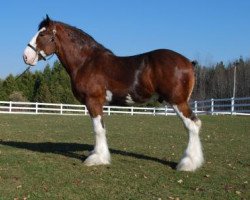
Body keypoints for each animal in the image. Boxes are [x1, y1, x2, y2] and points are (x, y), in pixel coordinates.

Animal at [23, 16, 203, 172]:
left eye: (42, 34)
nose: (26, 56)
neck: (86, 62)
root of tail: (188, 62)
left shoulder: (93, 101)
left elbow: (98, 129)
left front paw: (97, 158)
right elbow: (101, 128)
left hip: (178, 101)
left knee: (192, 125)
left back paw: (188, 163)